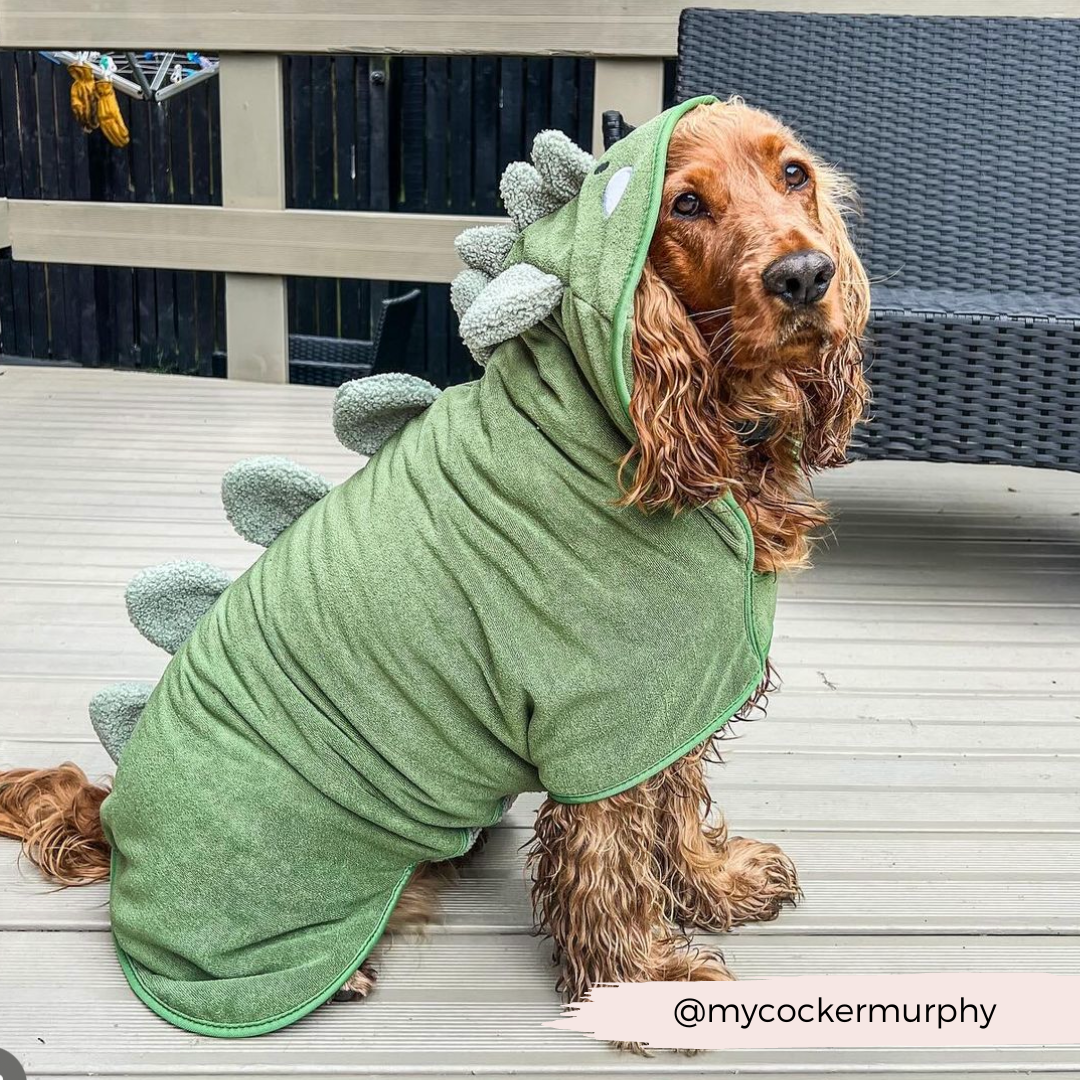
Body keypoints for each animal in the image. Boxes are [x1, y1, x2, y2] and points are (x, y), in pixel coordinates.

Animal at [0, 105, 868, 1023]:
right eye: (687, 205)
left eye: (794, 174)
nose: (806, 276)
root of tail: (115, 817)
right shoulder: (604, 717)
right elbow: (613, 865)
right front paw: (644, 987)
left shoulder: (674, 695)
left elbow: (675, 806)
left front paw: (714, 883)